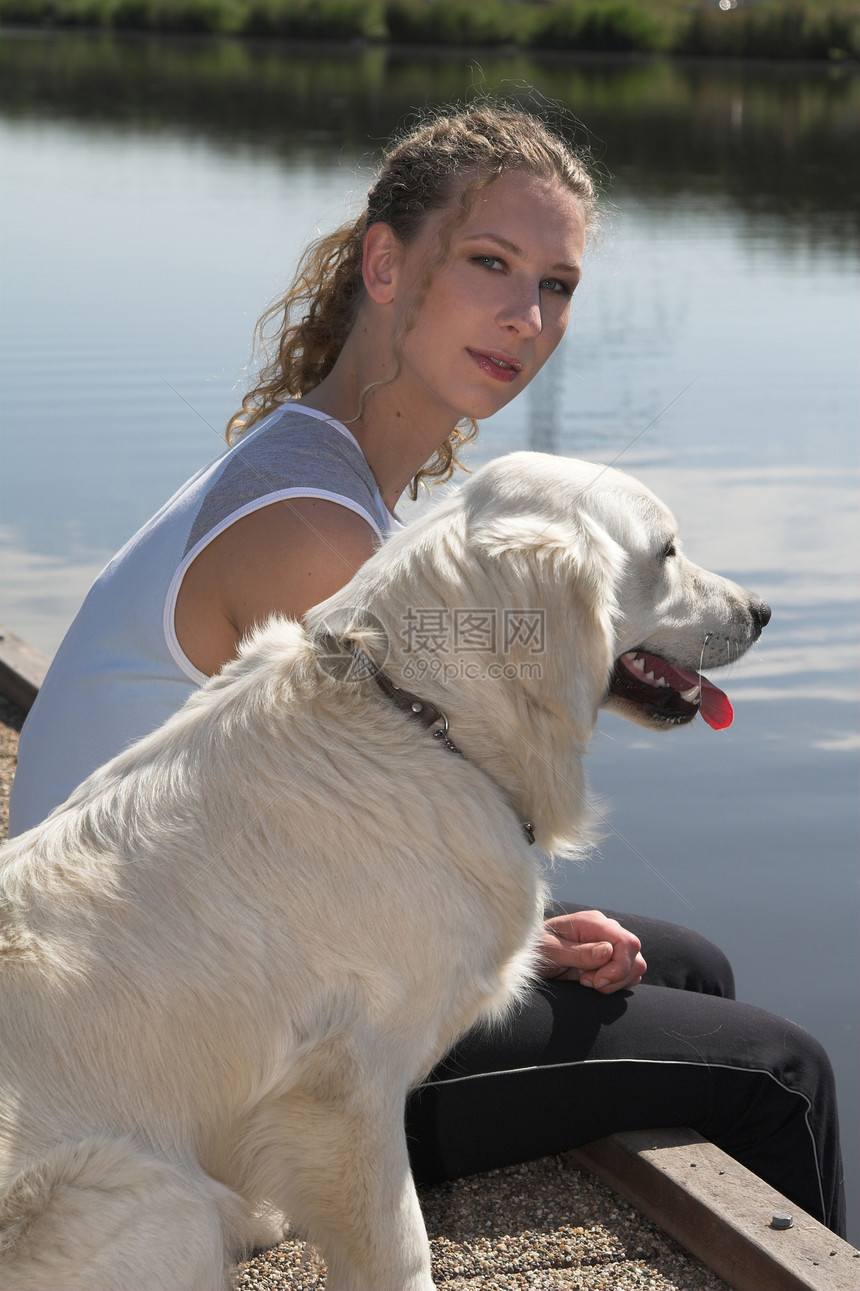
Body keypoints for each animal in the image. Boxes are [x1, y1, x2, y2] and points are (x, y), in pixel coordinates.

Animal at [0, 449, 764, 1285]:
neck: (424, 719)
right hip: (146, 1196)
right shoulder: (348, 1091)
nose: (761, 609)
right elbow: (401, 1247)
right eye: (666, 552)